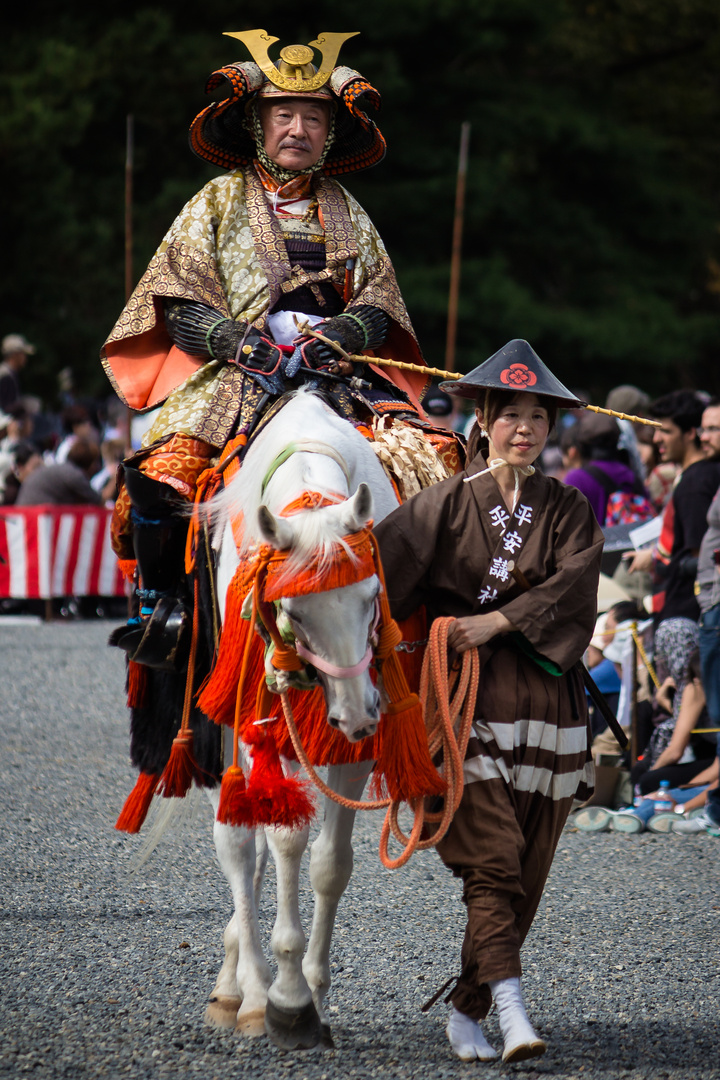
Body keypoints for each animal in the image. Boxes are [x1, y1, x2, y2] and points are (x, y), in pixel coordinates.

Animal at [202, 393, 399, 1049]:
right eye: (294, 611)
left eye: (371, 596)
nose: (358, 713)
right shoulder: (268, 708)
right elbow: (282, 840)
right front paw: (286, 999)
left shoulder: (357, 734)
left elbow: (329, 863)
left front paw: (313, 992)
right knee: (241, 843)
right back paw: (247, 992)